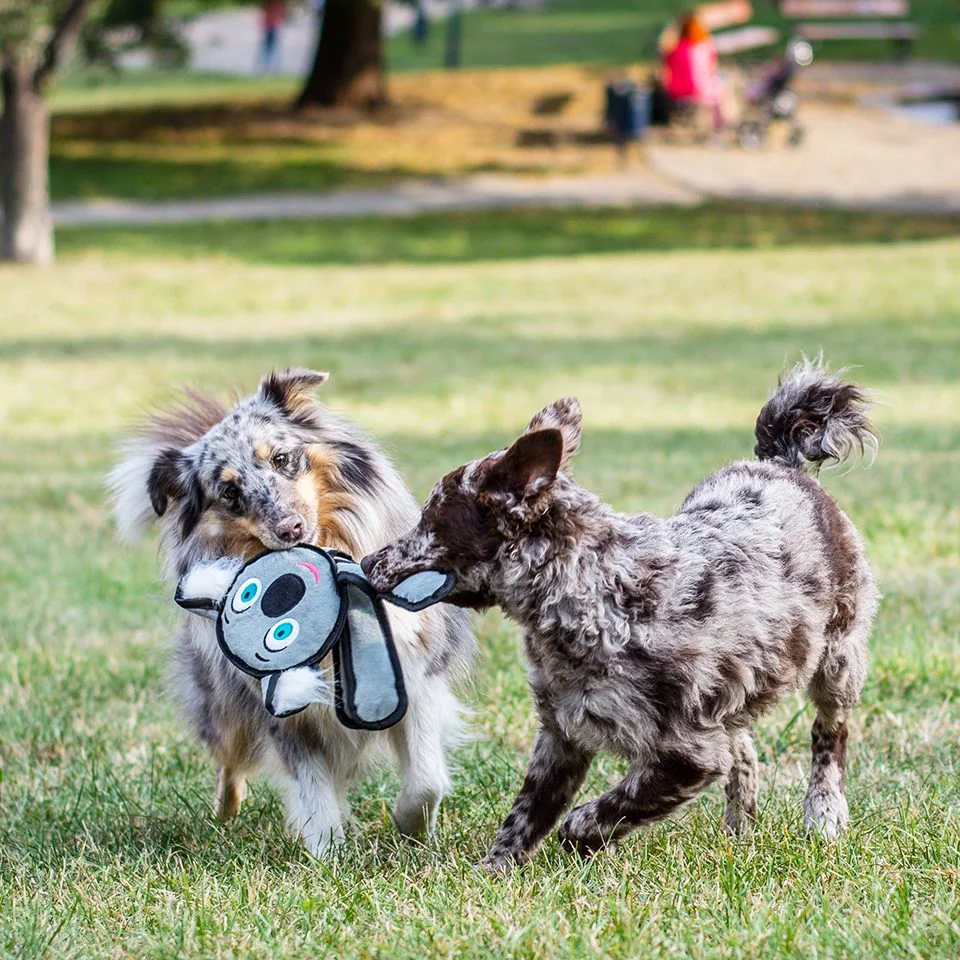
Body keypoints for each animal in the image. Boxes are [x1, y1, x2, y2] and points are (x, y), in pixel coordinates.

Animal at [364, 360, 880, 872]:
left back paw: (824, 813)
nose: (368, 562)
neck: (598, 591)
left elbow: (599, 811)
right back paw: (740, 826)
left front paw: (581, 840)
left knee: (828, 734)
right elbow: (526, 814)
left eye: (430, 522)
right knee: (745, 748)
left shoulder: (689, 755)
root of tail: (779, 463)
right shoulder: (561, 734)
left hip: (838, 659)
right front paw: (495, 871)